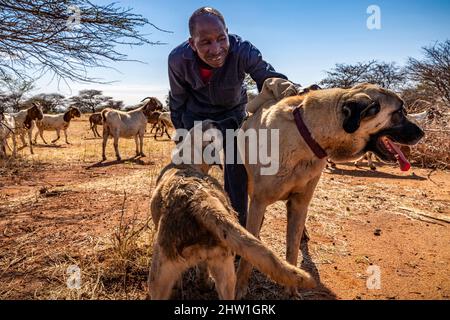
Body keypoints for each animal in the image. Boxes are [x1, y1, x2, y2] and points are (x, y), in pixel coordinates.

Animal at [149, 120, 316, 300]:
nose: (216, 121)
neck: (185, 163)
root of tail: (201, 200)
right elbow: (202, 269)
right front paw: (204, 284)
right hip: (226, 273)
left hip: (158, 278)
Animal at [236, 79, 426, 298]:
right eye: (399, 112)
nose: (422, 133)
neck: (308, 136)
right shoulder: (258, 202)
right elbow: (248, 250)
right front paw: (240, 287)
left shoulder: (300, 203)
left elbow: (292, 249)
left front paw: (291, 289)